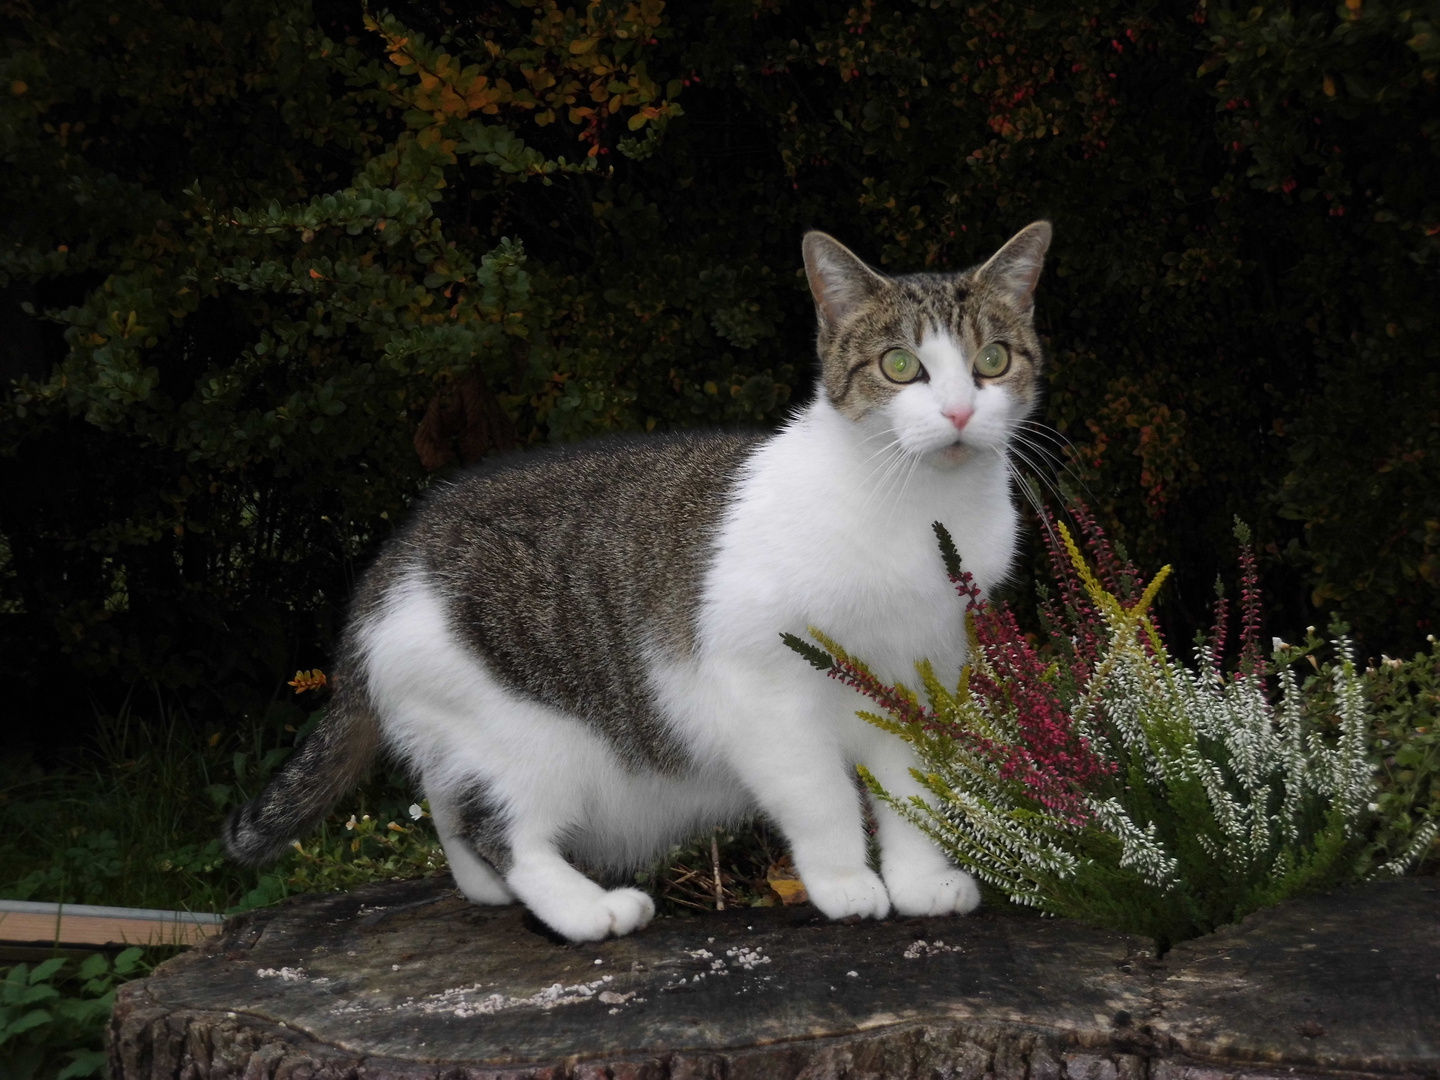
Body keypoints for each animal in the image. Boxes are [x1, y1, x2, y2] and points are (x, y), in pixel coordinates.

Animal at [227, 224, 1059, 944]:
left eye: (991, 360)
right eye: (899, 366)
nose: (959, 412)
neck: (918, 513)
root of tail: (388, 565)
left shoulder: (920, 687)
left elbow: (915, 798)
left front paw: (918, 884)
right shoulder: (763, 690)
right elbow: (820, 797)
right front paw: (845, 884)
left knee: (447, 801)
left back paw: (483, 888)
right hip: (528, 731)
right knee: (504, 830)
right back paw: (585, 908)